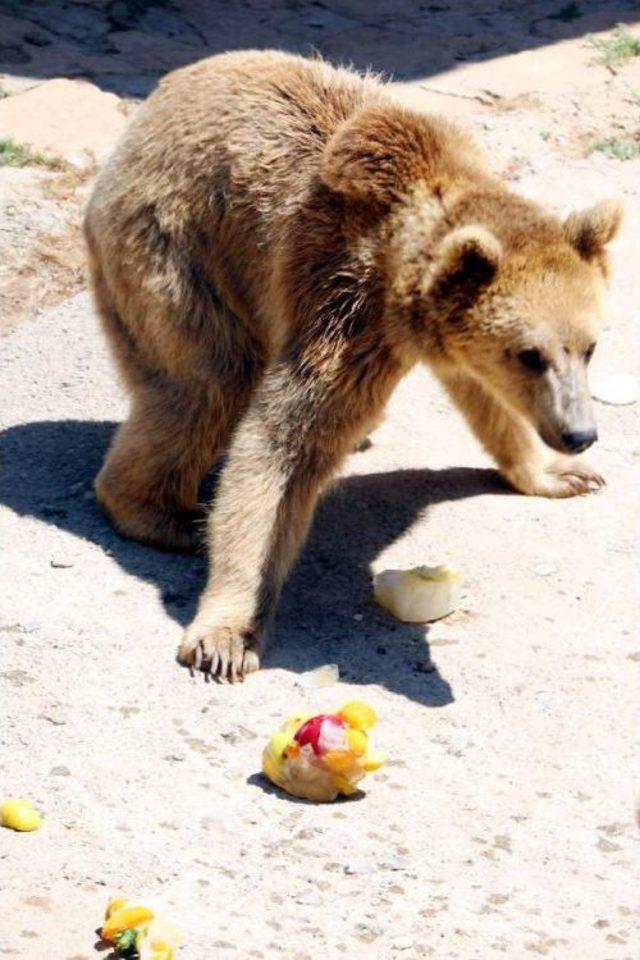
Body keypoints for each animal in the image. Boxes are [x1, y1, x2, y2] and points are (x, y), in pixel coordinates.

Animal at [84, 50, 620, 684]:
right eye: (530, 353)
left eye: (588, 347)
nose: (579, 434)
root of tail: (150, 108)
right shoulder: (342, 301)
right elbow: (283, 444)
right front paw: (227, 634)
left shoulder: (437, 335)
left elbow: (482, 398)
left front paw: (558, 475)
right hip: (176, 245)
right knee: (207, 381)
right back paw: (165, 514)